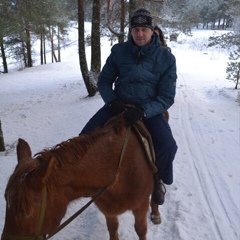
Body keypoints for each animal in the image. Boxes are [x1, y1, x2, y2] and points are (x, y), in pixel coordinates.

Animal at [1, 115, 160, 240]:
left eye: (23, 214)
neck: (119, 170)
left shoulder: (141, 207)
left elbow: (141, 230)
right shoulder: (108, 210)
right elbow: (113, 229)